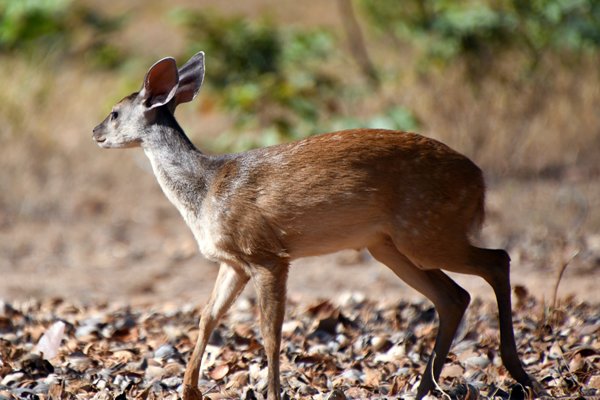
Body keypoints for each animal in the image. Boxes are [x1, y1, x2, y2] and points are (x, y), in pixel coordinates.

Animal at [91, 50, 540, 400]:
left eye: (114, 113)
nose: (94, 131)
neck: (204, 192)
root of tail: (479, 180)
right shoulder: (233, 262)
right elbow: (207, 317)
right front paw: (189, 390)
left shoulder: (267, 254)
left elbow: (270, 332)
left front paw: (272, 392)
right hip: (391, 244)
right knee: (454, 296)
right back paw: (424, 388)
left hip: (427, 230)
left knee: (497, 260)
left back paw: (517, 372)